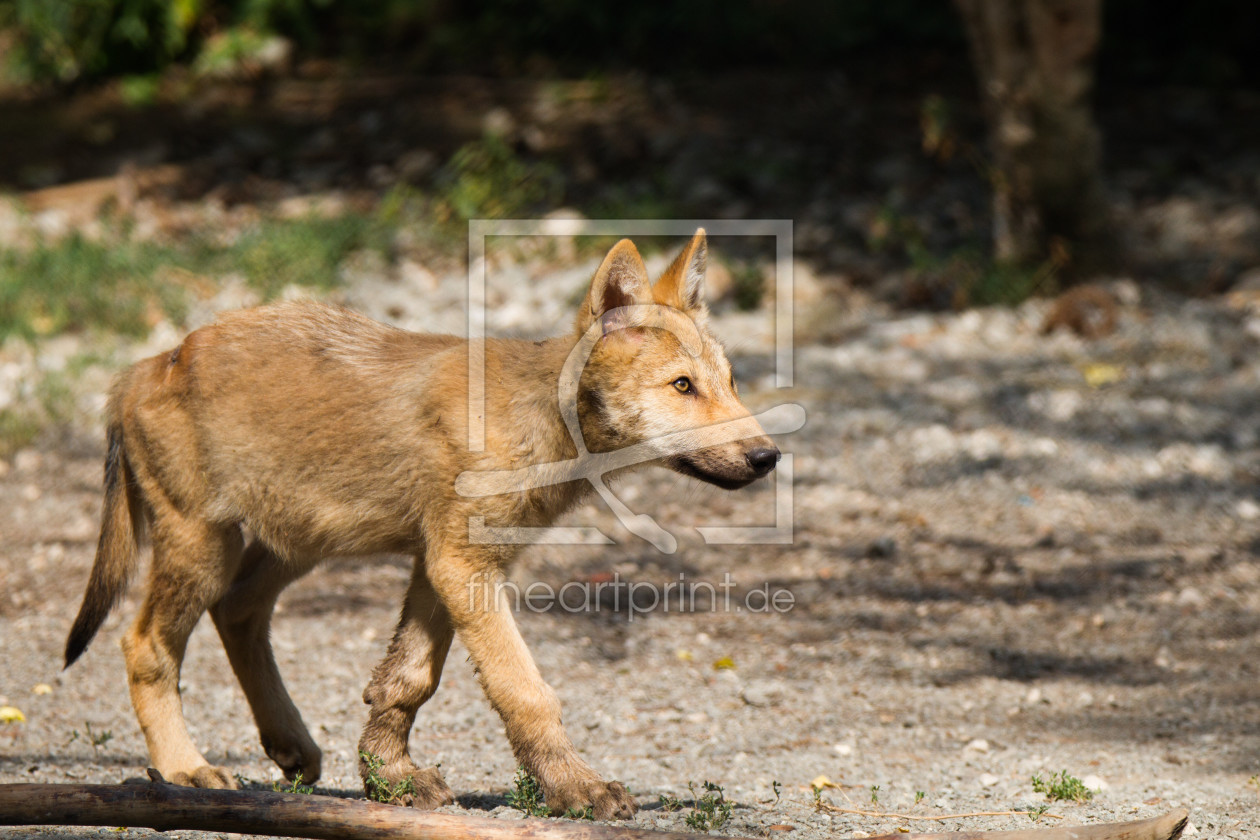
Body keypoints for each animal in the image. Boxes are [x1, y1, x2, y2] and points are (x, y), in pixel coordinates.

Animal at [68, 226, 781, 816]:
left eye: (732, 382)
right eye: (683, 386)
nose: (768, 457)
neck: (537, 424)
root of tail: (145, 366)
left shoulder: (440, 563)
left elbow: (407, 681)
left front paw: (389, 779)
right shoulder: (461, 565)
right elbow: (526, 693)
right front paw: (575, 789)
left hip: (298, 542)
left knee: (238, 612)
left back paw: (289, 742)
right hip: (205, 546)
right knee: (145, 646)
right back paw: (184, 769)